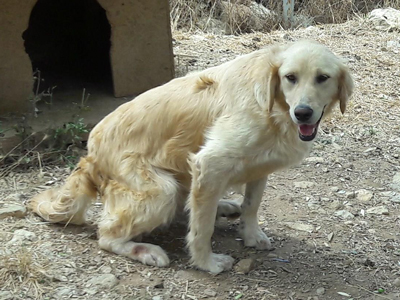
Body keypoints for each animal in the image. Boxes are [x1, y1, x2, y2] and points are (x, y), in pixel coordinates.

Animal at [28, 40, 354, 274]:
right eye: (290, 78)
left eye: (322, 78)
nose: (303, 113)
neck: (272, 106)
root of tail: (90, 156)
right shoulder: (209, 162)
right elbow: (201, 227)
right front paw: (206, 263)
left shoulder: (260, 167)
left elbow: (251, 206)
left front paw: (251, 235)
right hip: (161, 190)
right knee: (107, 235)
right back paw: (146, 251)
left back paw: (224, 205)